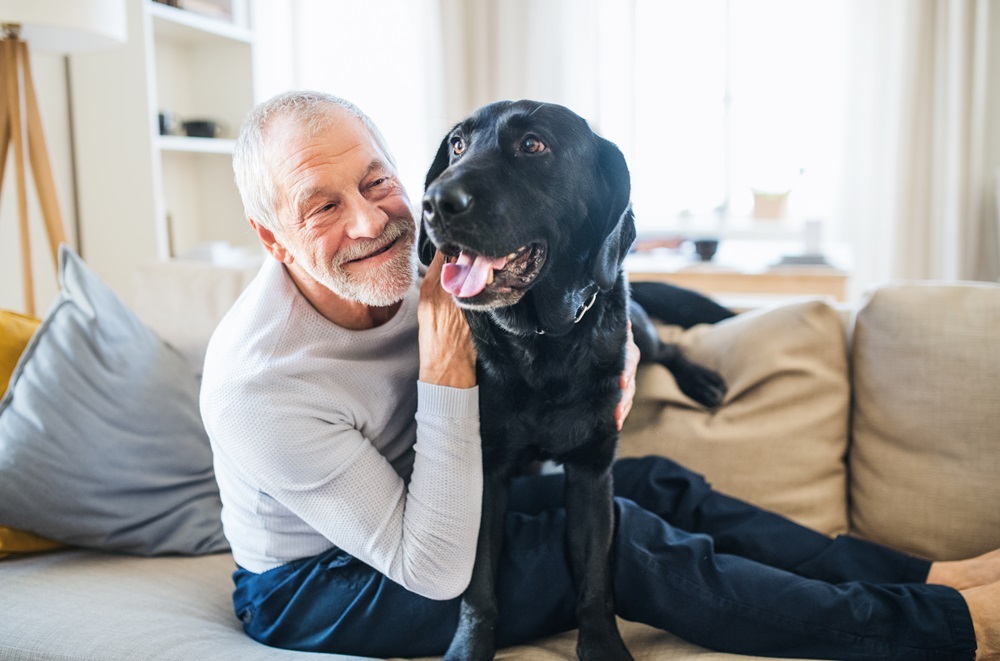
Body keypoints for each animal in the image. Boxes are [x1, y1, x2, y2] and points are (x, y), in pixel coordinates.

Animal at [418, 98, 732, 660]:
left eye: (533, 145)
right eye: (456, 145)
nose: (434, 202)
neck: (542, 340)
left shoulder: (591, 470)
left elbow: (595, 580)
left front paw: (603, 646)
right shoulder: (486, 471)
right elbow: (478, 585)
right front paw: (469, 647)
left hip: (638, 330)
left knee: (669, 346)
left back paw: (702, 380)